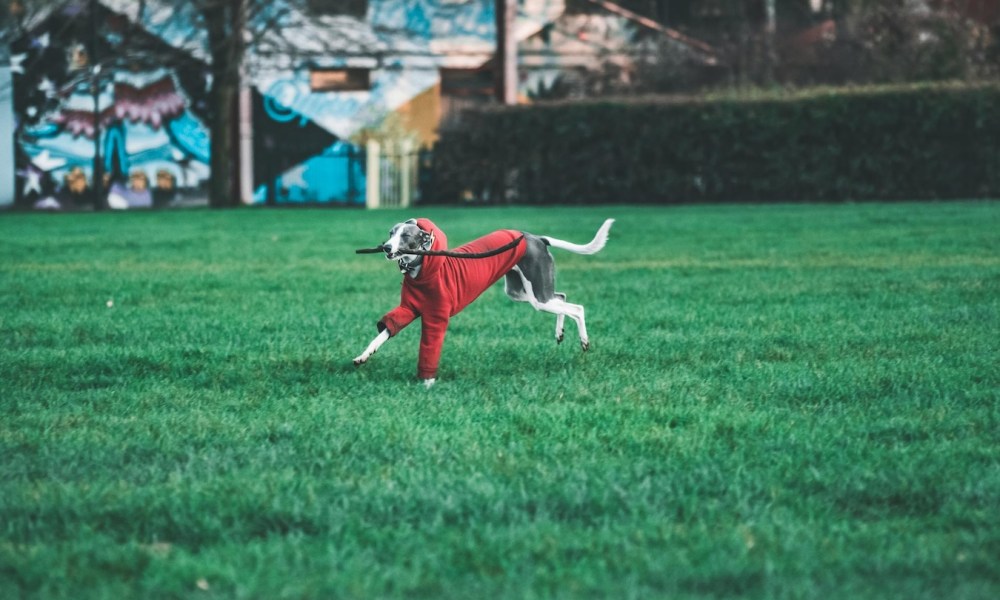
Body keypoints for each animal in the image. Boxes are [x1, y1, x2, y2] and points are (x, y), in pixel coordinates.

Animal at [352, 218, 616, 386]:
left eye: (405, 236)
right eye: (391, 233)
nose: (386, 247)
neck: (422, 269)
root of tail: (537, 238)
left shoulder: (437, 317)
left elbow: (429, 350)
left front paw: (427, 384)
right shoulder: (408, 309)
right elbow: (383, 334)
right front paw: (363, 356)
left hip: (537, 293)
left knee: (577, 308)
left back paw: (584, 341)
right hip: (522, 292)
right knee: (562, 298)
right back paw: (560, 333)